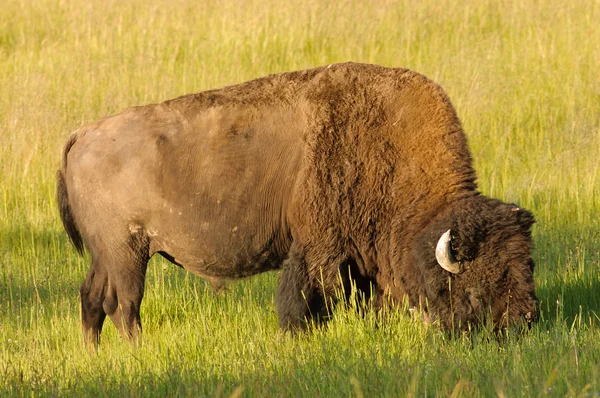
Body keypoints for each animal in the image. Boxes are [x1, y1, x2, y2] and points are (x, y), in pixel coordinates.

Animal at [57, 62, 540, 346]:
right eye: (476, 285)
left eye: (527, 268)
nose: (523, 324)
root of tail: (83, 133)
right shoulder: (319, 248)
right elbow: (303, 299)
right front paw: (297, 338)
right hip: (127, 253)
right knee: (124, 304)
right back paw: (140, 350)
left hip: (107, 256)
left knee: (92, 299)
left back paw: (94, 354)